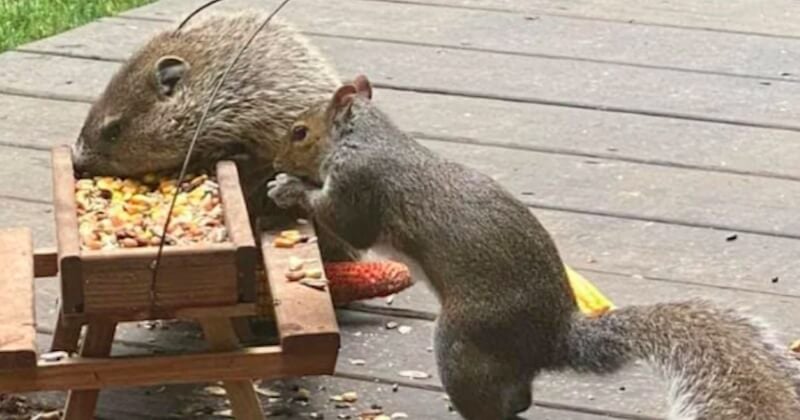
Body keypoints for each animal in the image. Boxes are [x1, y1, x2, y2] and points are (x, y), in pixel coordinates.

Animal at [268, 75, 800, 420]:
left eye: (300, 132)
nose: (274, 160)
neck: (368, 136)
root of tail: (552, 338)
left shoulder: (362, 184)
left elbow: (347, 223)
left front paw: (287, 188)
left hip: (465, 338)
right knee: (518, 396)